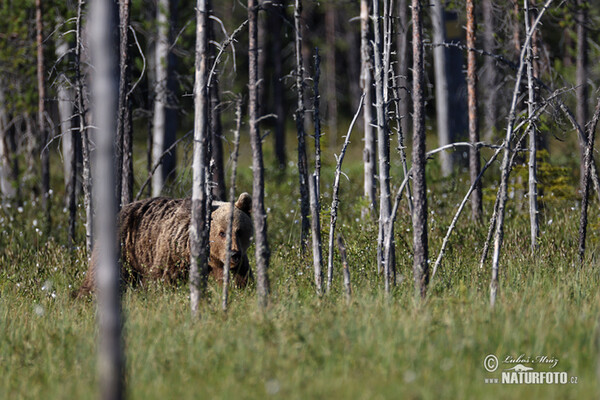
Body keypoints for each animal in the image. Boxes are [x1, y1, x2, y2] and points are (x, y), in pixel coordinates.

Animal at [75, 192, 253, 296]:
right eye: (222, 232)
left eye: (239, 231)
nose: (234, 254)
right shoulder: (175, 251)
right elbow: (164, 278)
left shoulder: (232, 264)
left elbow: (241, 280)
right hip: (124, 245)